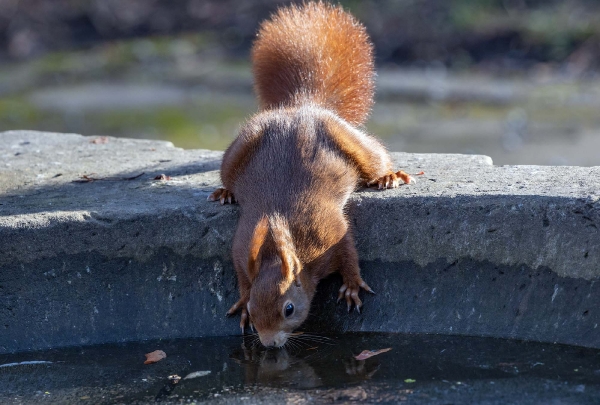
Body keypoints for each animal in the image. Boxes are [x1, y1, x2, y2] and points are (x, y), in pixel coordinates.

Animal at [207, 0, 412, 348]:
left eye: (288, 309)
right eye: (254, 308)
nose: (270, 344)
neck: (279, 242)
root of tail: (302, 106)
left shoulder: (329, 231)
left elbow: (348, 251)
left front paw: (352, 284)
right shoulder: (241, 245)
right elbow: (242, 276)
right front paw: (242, 302)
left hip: (351, 142)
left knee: (374, 158)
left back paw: (388, 176)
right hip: (239, 149)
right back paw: (226, 192)